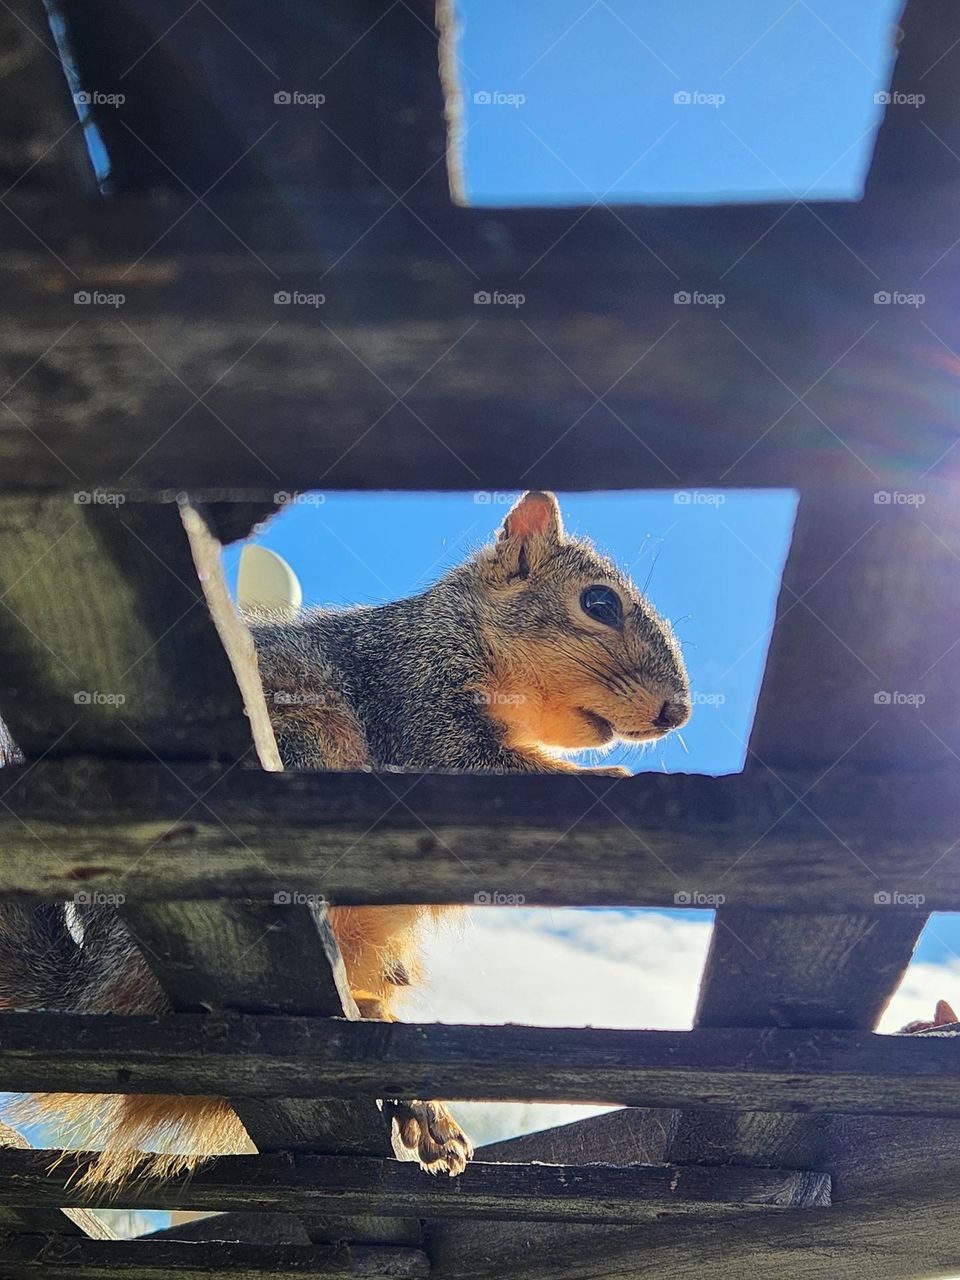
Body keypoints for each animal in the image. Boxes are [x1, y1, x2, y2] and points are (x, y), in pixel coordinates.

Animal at [0, 490, 690, 1186]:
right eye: (598, 603)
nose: (678, 712)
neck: (455, 635)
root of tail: (91, 986)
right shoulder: (415, 709)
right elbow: (479, 764)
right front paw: (609, 777)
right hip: (304, 747)